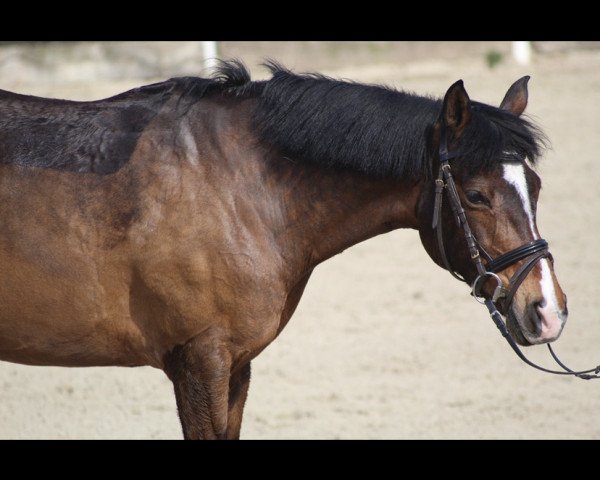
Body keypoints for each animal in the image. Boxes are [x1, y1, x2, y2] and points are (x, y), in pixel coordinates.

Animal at [0, 62, 564, 440]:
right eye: (476, 195)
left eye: (535, 186)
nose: (548, 311)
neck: (236, 186)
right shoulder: (198, 362)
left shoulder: (235, 365)